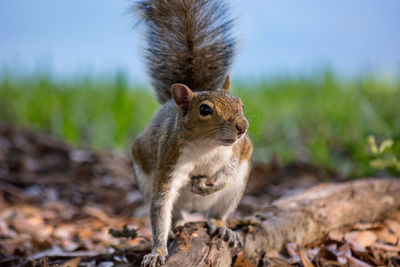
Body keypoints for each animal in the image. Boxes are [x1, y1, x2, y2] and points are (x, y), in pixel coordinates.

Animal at [130, 1, 252, 266]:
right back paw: (175, 225)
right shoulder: (169, 158)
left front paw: (211, 184)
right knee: (173, 212)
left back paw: (221, 226)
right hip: (145, 178)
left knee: (216, 213)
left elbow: (231, 166)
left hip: (235, 190)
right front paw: (157, 251)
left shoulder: (239, 147)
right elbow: (160, 203)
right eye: (205, 110)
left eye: (240, 103)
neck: (207, 146)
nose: (243, 126)